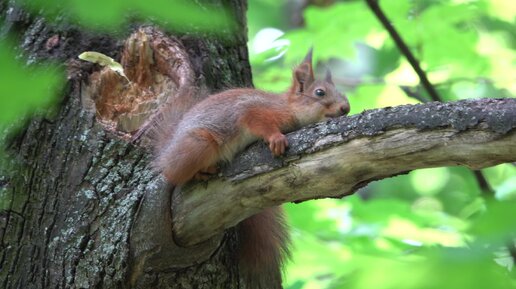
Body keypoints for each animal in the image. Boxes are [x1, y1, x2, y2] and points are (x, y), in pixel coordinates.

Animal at [151, 48, 348, 286]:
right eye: (320, 93)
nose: (346, 108)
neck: (288, 107)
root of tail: (167, 151)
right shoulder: (255, 111)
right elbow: (259, 122)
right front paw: (276, 138)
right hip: (199, 145)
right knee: (173, 174)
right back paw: (199, 171)